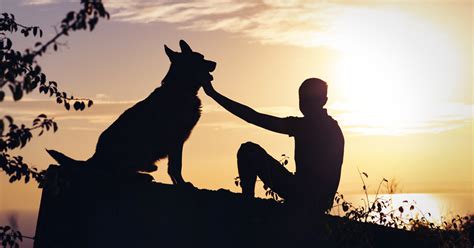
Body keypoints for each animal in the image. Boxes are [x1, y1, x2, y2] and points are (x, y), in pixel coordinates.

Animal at [46, 39, 217, 185]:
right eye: (201, 59)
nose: (215, 63)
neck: (179, 88)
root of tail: (96, 156)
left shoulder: (177, 141)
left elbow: (173, 167)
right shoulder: (176, 140)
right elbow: (176, 166)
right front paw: (182, 184)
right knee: (118, 173)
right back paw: (142, 175)